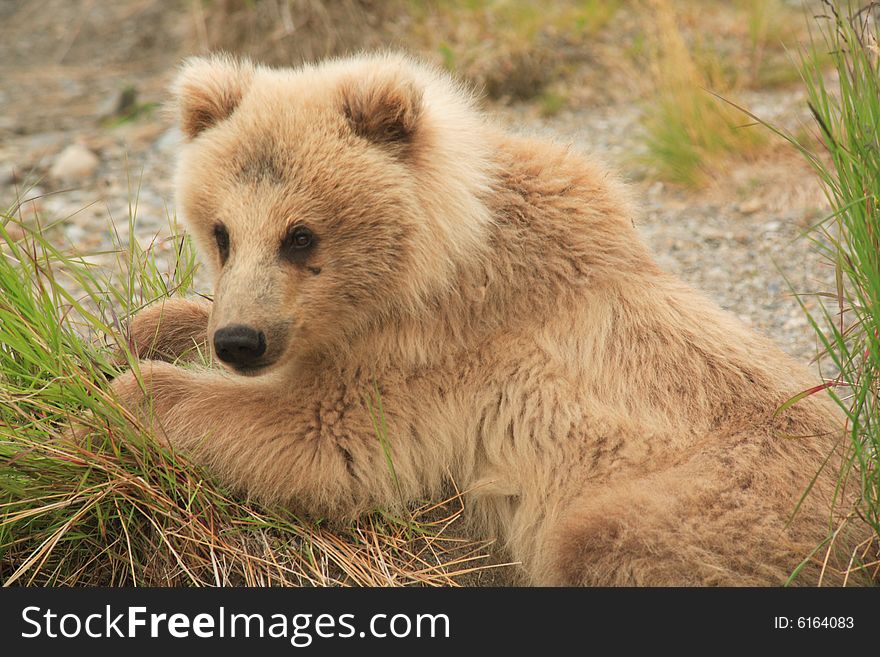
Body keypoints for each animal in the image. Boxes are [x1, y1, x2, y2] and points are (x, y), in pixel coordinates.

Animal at [113, 51, 868, 584]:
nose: (242, 341)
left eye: (301, 235)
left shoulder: (435, 355)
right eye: (220, 232)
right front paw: (148, 328)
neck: (439, 255)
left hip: (709, 503)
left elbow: (317, 438)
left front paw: (128, 391)